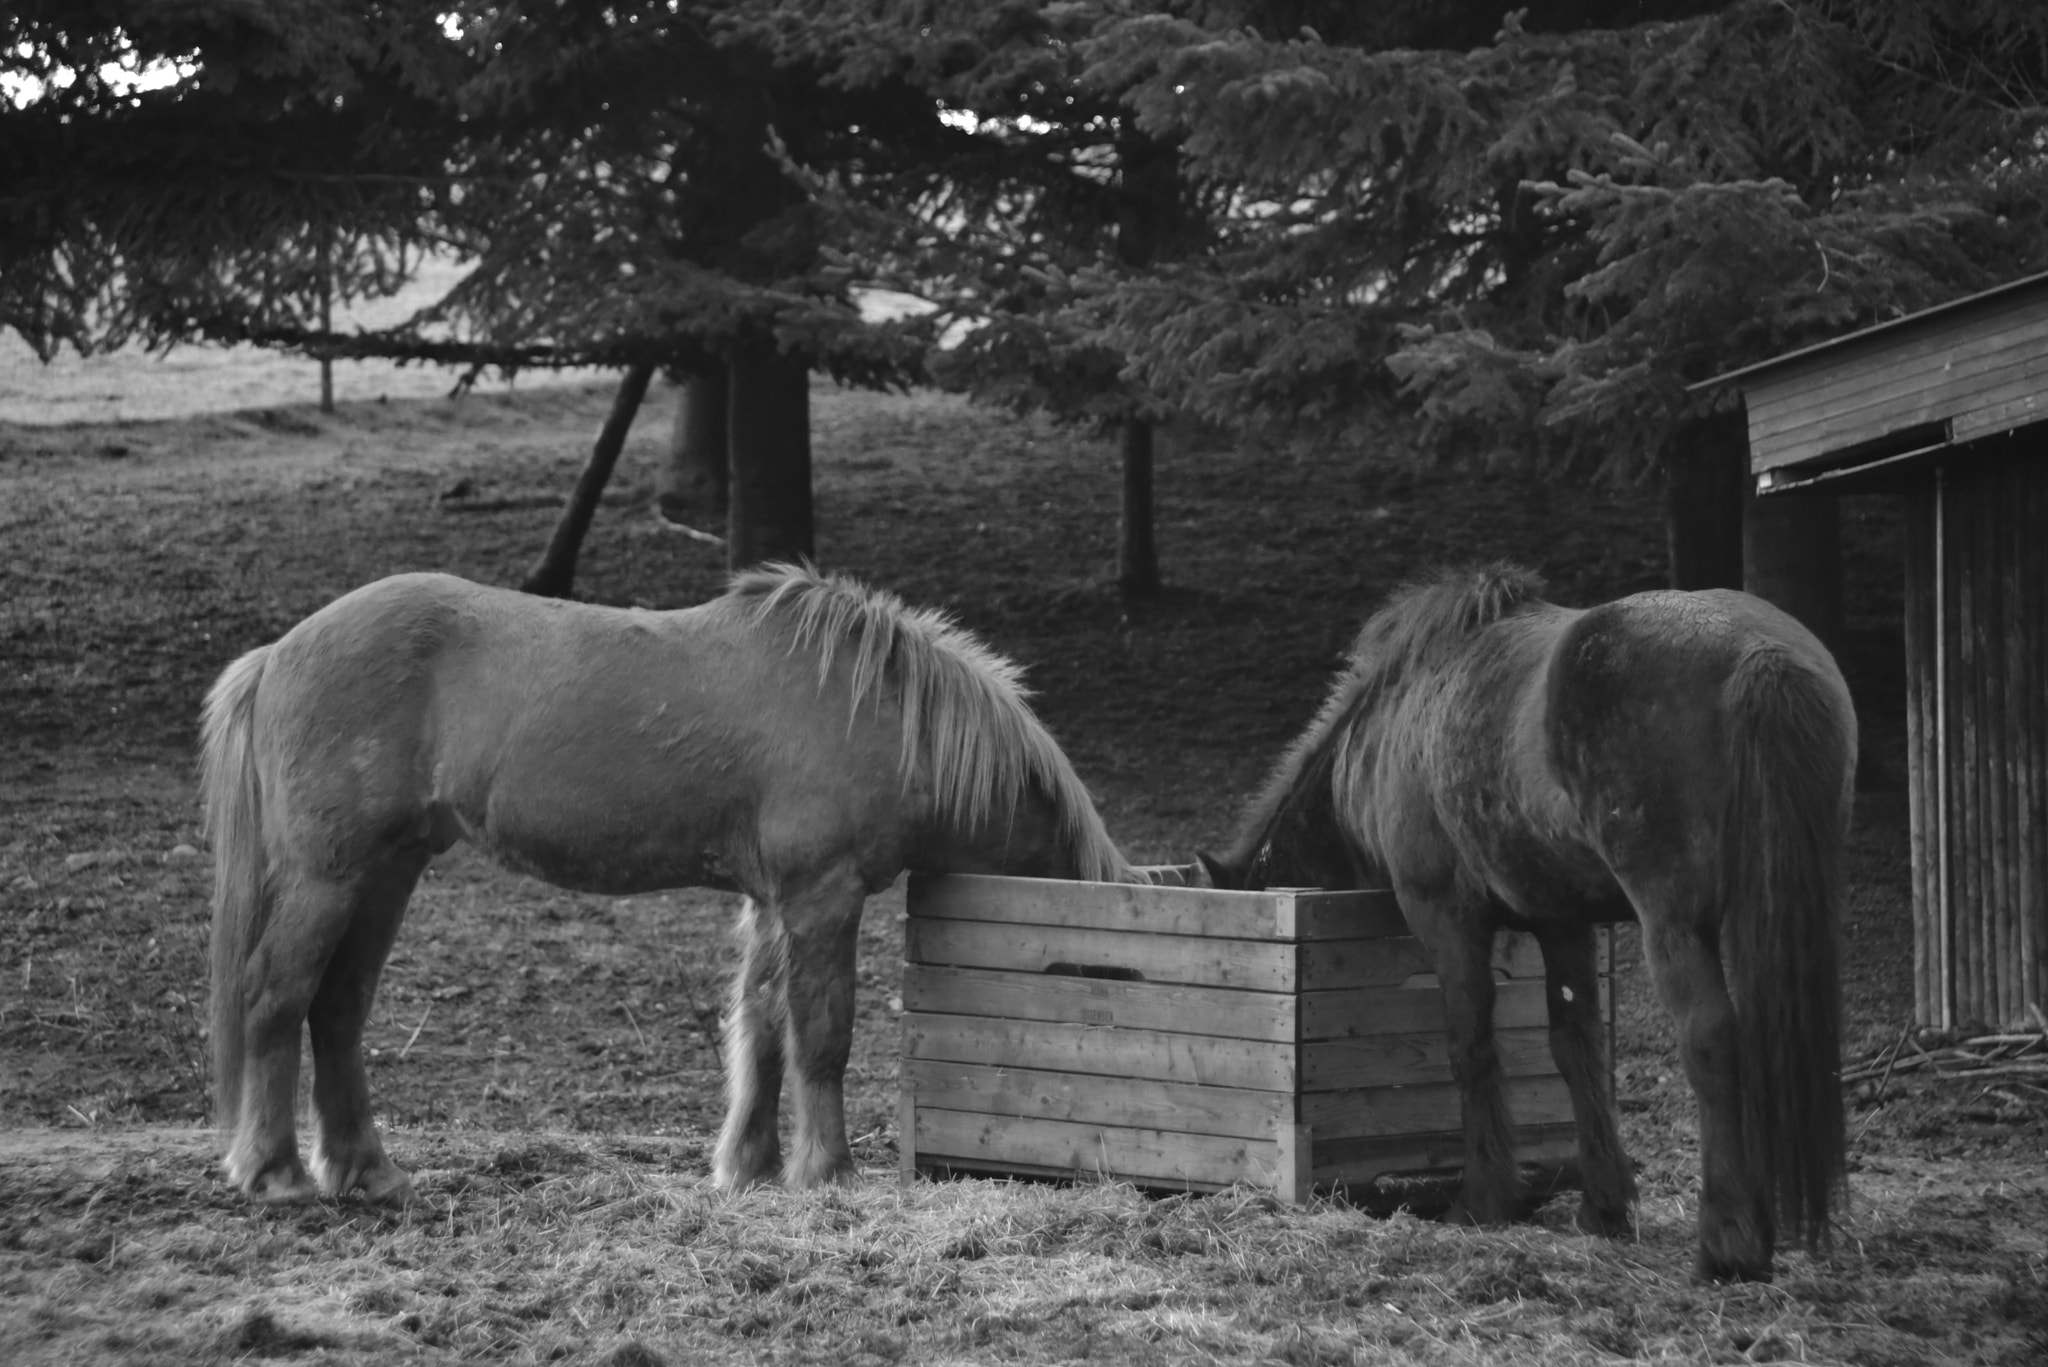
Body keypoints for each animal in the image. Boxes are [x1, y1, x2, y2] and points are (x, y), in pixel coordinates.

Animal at [201, 561, 1138, 1205]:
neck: (876, 711)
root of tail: (277, 655)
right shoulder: (821, 896)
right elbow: (822, 1034)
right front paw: (828, 1171)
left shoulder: (771, 901)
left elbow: (760, 1027)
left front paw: (750, 1166)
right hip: (329, 877)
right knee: (275, 997)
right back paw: (276, 1171)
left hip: (387, 873)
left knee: (338, 1008)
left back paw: (367, 1168)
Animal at [1196, 565, 1859, 1287]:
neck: (1387, 727)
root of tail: (1760, 655)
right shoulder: (1561, 921)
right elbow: (1577, 1048)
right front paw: (1604, 1206)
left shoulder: (1445, 916)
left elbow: (1472, 1046)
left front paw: (1482, 1199)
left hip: (1675, 923)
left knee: (1711, 1040)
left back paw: (1727, 1242)